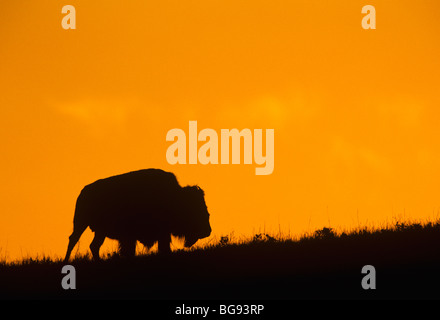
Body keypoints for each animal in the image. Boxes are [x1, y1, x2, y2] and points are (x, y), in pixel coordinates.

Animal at [63, 169, 211, 262]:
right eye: (195, 209)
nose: (207, 231)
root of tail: (83, 191)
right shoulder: (133, 236)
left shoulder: (161, 234)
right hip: (81, 223)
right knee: (73, 239)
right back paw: (66, 261)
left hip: (100, 232)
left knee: (94, 245)